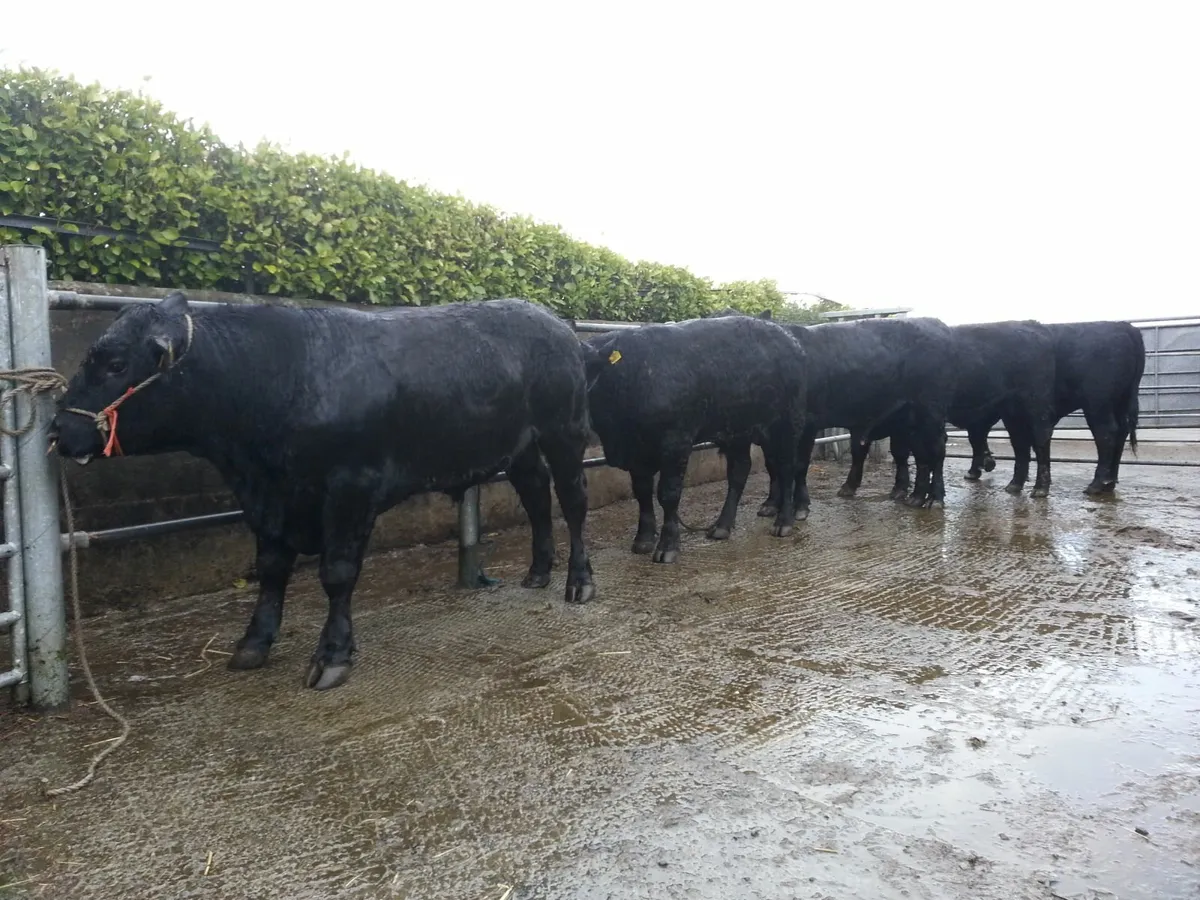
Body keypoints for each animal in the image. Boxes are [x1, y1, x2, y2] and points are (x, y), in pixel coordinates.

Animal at [51, 292, 597, 691]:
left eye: (116, 363)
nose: (59, 429)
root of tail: (552, 320)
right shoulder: (265, 498)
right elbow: (272, 568)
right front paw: (254, 642)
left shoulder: (350, 488)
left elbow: (336, 574)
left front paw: (332, 655)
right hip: (521, 448)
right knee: (537, 498)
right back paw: (538, 572)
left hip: (565, 431)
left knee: (573, 503)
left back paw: (579, 582)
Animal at [582, 316, 807, 563]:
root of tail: (790, 339)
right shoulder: (637, 453)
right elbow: (642, 492)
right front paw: (643, 539)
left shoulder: (676, 443)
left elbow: (668, 494)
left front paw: (668, 546)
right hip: (738, 430)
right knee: (740, 471)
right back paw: (722, 526)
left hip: (787, 424)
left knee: (786, 467)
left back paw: (784, 522)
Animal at [756, 316, 959, 517]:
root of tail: (934, 322)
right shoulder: (766, 434)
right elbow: (772, 465)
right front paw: (771, 504)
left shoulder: (807, 426)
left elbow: (799, 464)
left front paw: (800, 506)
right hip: (910, 421)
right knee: (920, 456)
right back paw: (915, 497)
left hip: (931, 413)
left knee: (937, 453)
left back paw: (935, 498)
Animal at [839, 321, 1059, 498]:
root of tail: (1034, 326)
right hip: (1011, 413)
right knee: (1017, 442)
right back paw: (1009, 481)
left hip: (1034, 406)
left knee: (1040, 440)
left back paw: (1039, 488)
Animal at [970, 321, 1145, 495]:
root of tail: (1124, 326)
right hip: (1119, 402)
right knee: (1121, 432)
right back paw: (1110, 482)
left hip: (1098, 403)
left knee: (1106, 434)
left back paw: (1096, 484)